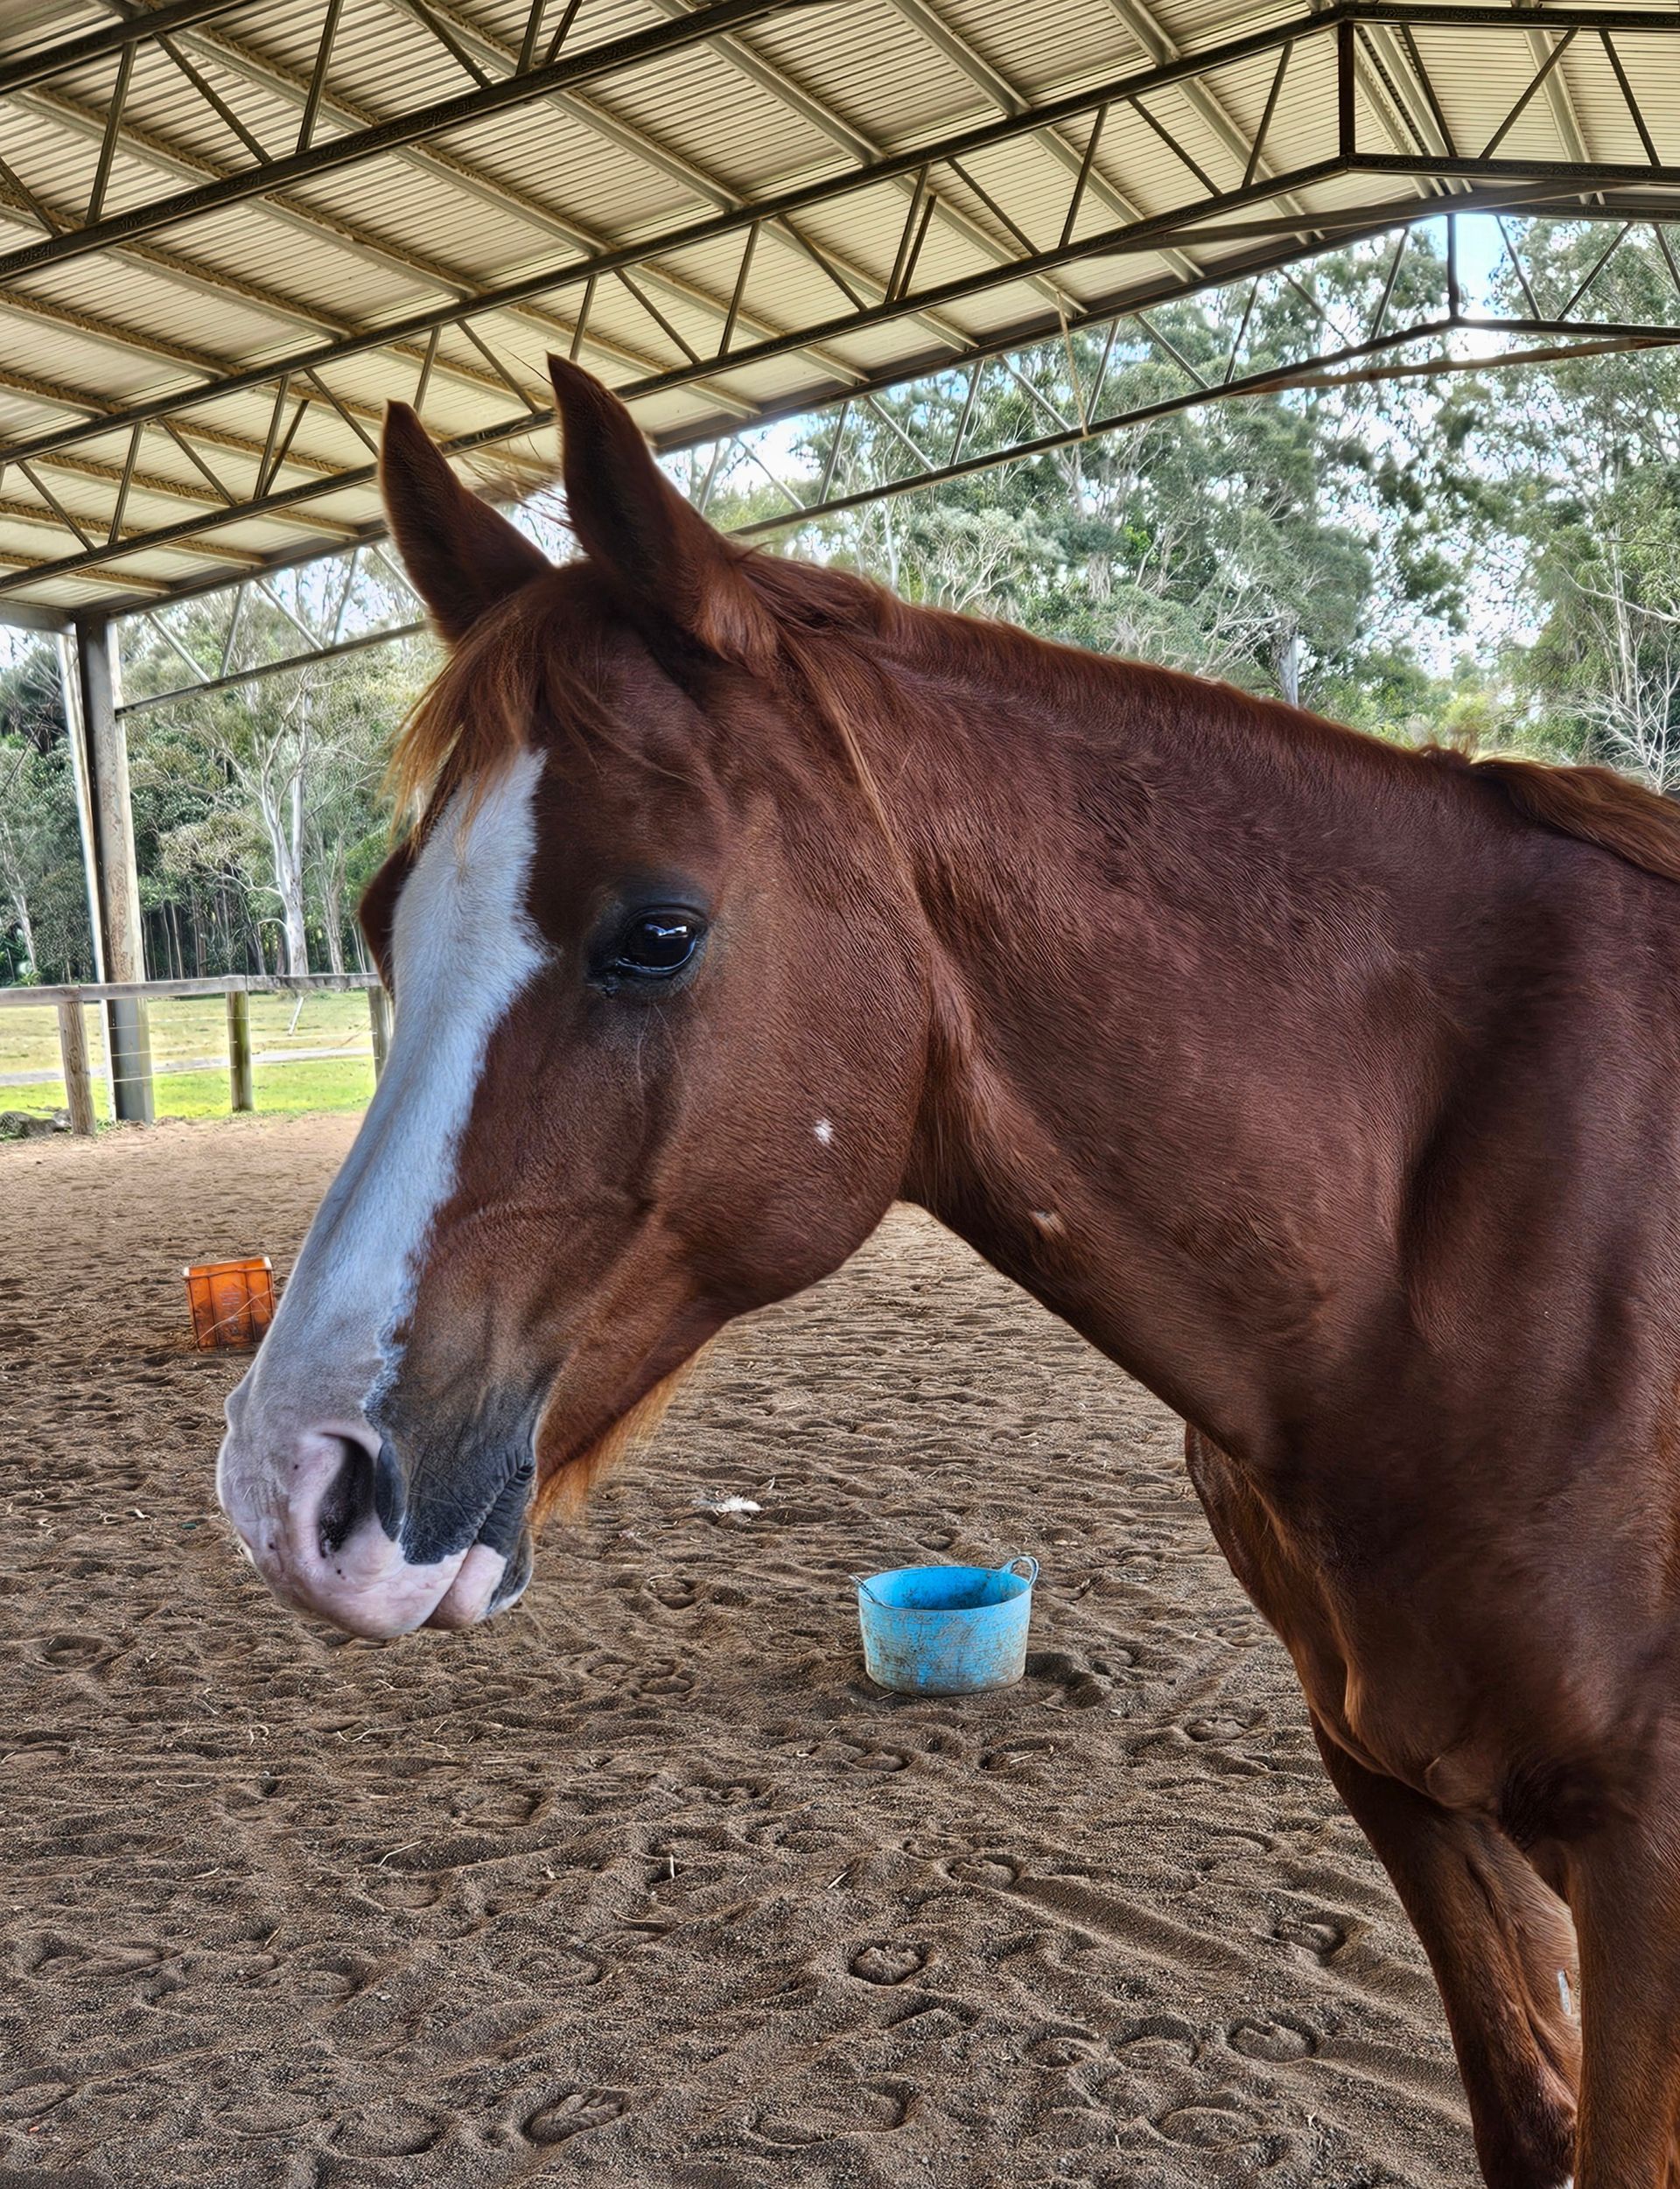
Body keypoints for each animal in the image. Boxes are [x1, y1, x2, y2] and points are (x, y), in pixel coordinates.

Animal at [218, 356, 1680, 2188]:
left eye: (658, 931)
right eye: (380, 918)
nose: (294, 1485)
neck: (1453, 1251)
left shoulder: (1645, 1867)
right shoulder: (1404, 1786)